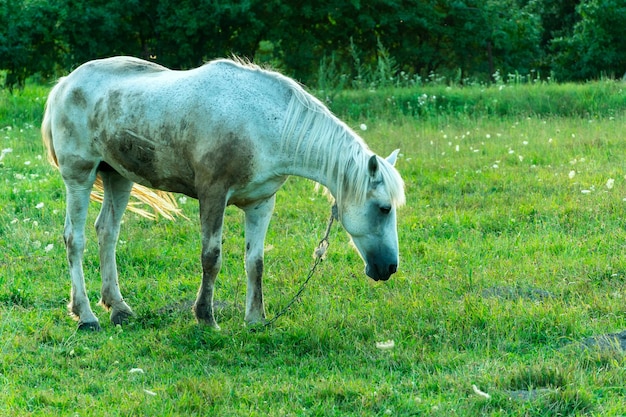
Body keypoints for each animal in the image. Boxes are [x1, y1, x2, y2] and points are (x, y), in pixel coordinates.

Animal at [42, 57, 404, 330]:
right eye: (384, 208)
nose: (389, 267)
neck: (262, 121)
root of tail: (65, 83)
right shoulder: (213, 196)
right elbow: (211, 258)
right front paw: (206, 317)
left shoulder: (260, 203)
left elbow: (255, 262)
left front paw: (256, 320)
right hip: (79, 176)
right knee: (75, 239)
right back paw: (86, 316)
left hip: (117, 177)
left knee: (107, 233)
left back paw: (117, 308)